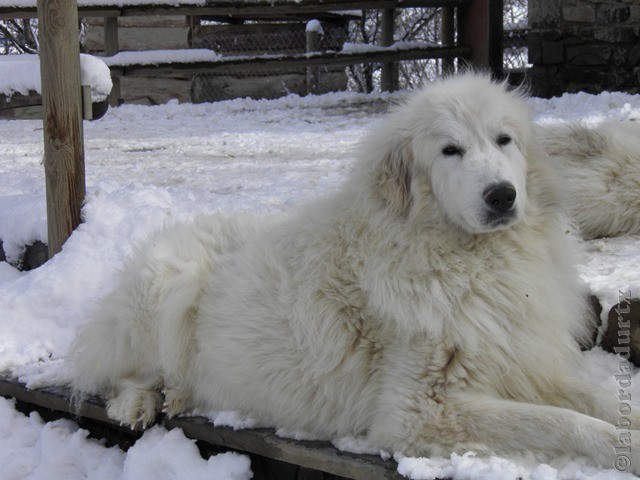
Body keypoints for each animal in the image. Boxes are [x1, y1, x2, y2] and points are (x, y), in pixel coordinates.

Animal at [71, 74, 640, 472]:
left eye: (504, 140)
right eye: (450, 151)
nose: (501, 195)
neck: (468, 261)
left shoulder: (521, 362)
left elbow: (593, 399)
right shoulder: (420, 411)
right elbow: (560, 421)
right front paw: (619, 446)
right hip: (170, 286)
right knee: (116, 374)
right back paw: (141, 402)